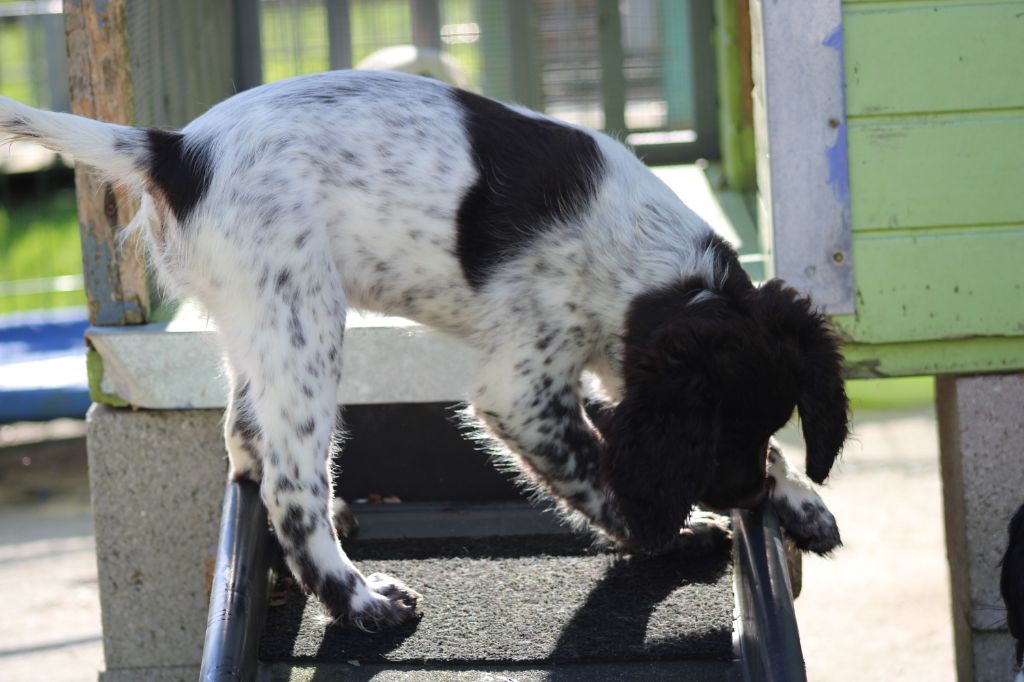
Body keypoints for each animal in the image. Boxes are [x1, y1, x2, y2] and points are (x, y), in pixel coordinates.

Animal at [0, 71, 847, 630]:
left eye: (765, 426)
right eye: (718, 437)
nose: (742, 495)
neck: (657, 269)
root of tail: (176, 150)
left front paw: (796, 496)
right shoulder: (522, 389)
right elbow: (597, 470)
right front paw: (670, 533)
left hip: (259, 320)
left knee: (248, 443)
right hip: (306, 319)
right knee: (289, 487)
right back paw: (359, 600)